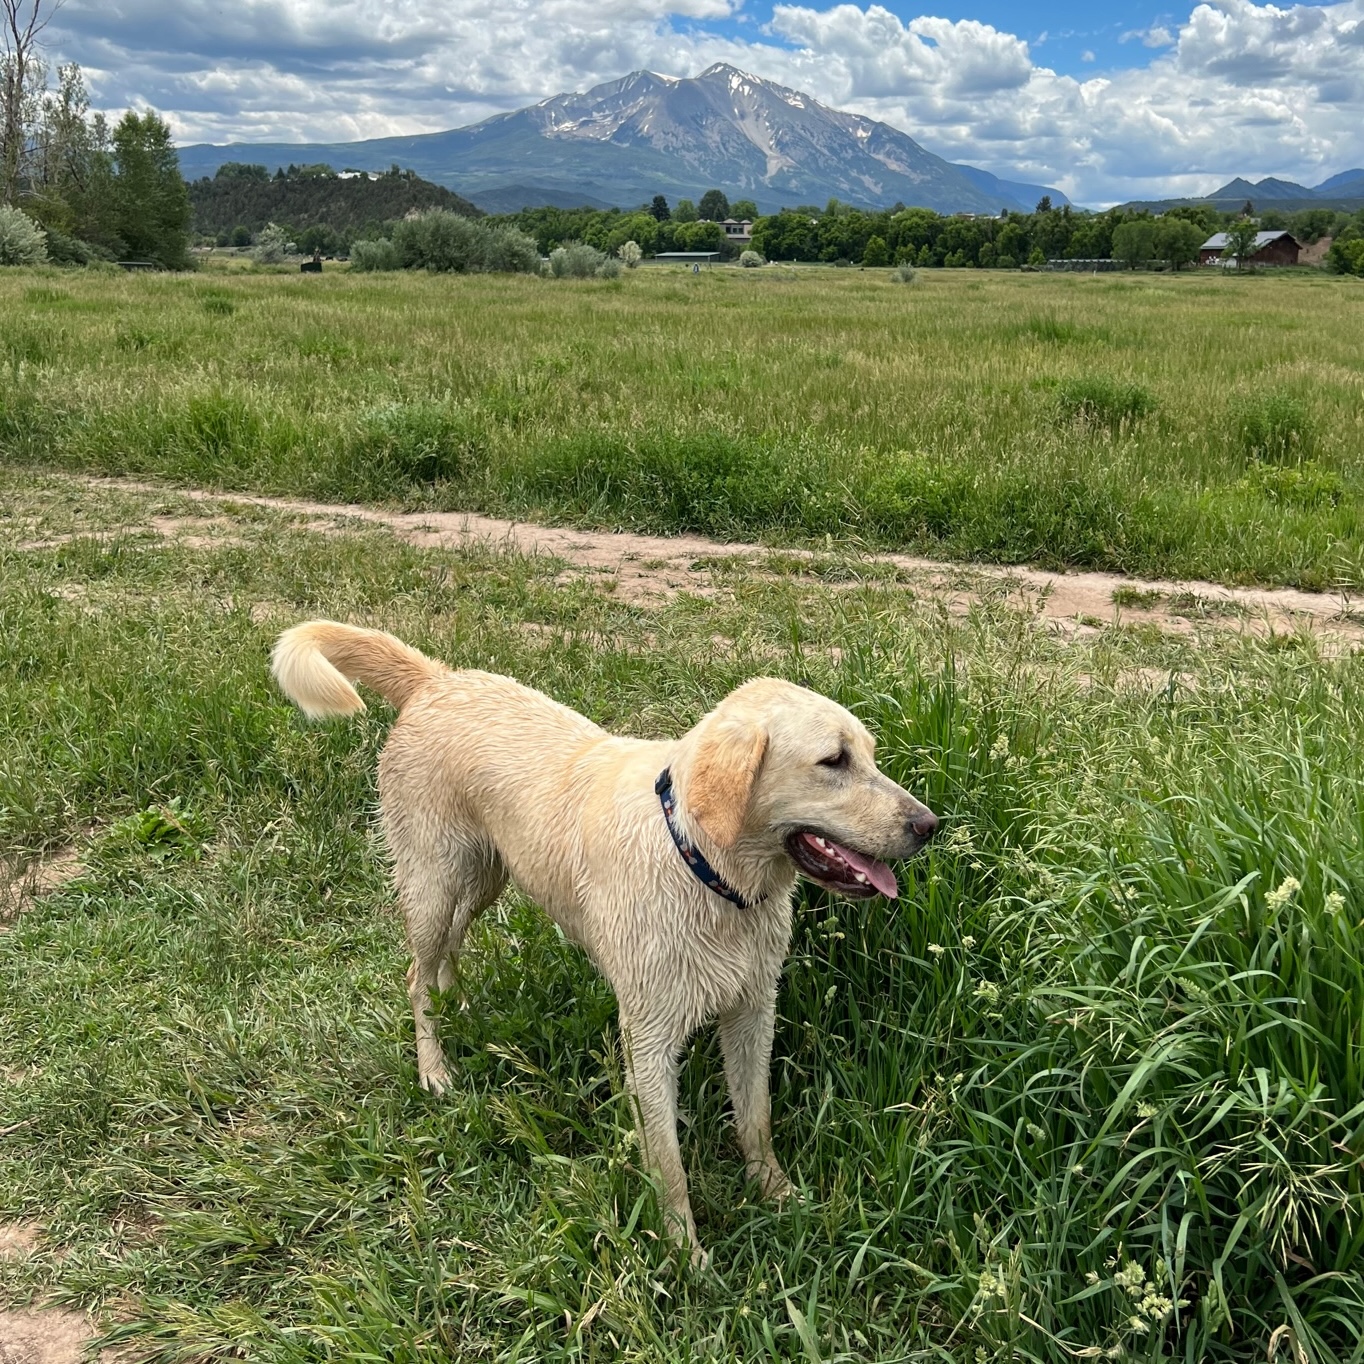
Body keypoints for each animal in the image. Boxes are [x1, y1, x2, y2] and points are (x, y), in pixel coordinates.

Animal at [274, 619, 938, 1254]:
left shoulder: (752, 1012)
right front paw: (685, 1253)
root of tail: (437, 679)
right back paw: (434, 1068)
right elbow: (669, 1166)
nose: (929, 825)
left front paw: (776, 1195)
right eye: (834, 761)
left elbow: (756, 1119)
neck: (703, 870)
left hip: (488, 877)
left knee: (447, 957)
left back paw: (457, 1004)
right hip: (435, 885)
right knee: (417, 973)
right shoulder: (648, 1040)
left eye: (870, 755)